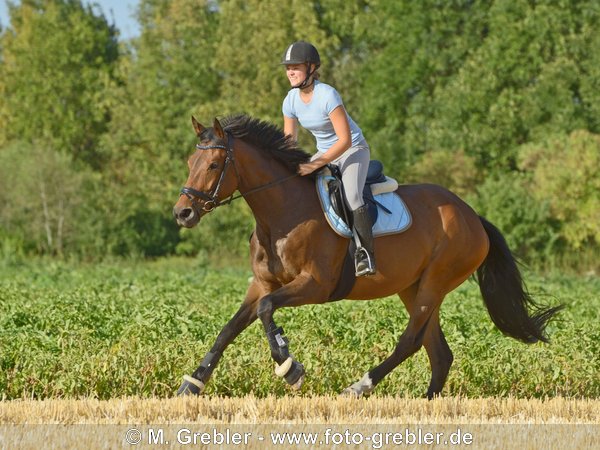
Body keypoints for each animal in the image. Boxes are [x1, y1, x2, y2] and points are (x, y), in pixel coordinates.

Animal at [171, 114, 560, 400]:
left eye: (214, 164)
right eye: (191, 161)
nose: (183, 213)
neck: (281, 214)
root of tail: (472, 216)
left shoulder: (315, 285)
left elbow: (267, 311)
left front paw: (289, 367)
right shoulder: (262, 284)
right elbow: (229, 329)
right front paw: (192, 384)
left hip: (435, 282)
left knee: (411, 341)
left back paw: (358, 387)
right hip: (413, 287)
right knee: (438, 352)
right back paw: (426, 402)